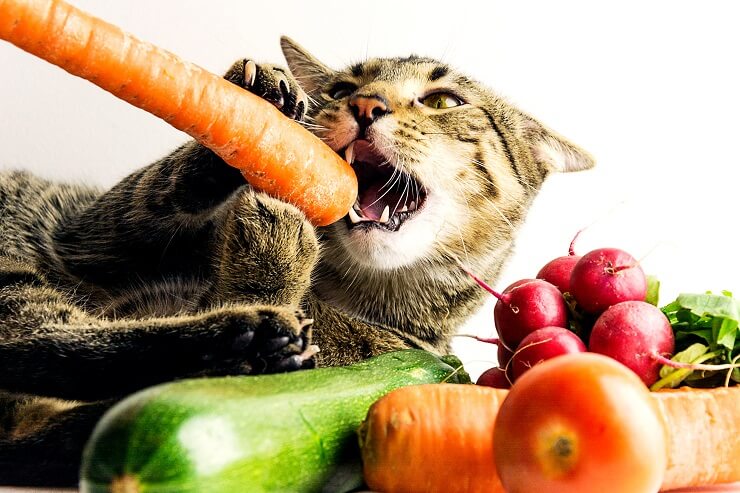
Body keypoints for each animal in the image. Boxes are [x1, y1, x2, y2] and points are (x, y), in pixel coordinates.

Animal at [0, 37, 592, 484]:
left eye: (444, 101)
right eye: (341, 90)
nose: (365, 106)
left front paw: (275, 246)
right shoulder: (84, 233)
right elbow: (153, 190)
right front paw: (258, 107)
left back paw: (247, 334)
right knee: (36, 341)